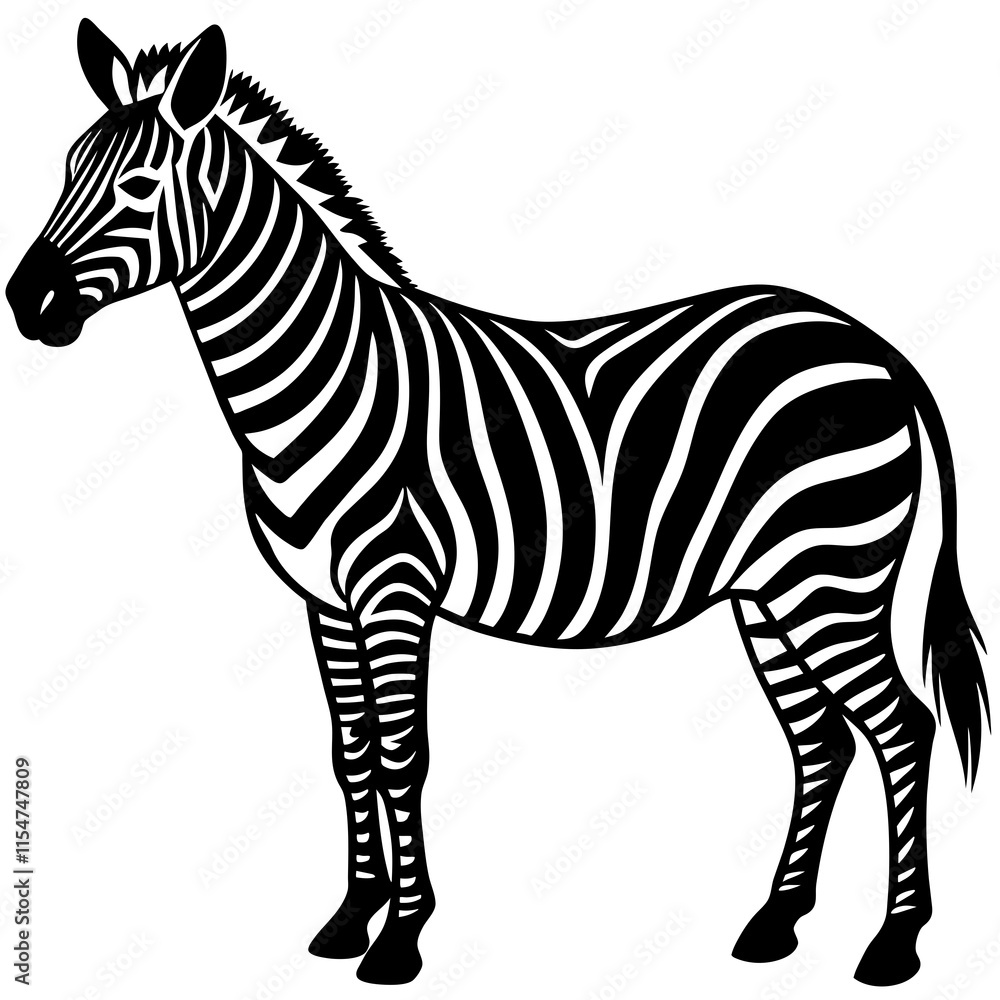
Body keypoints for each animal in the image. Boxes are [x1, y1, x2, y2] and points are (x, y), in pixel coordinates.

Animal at [5, 19, 989, 988]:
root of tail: (871, 344)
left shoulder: (393, 588)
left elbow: (402, 754)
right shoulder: (325, 602)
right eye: (64, 168)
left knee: (902, 726)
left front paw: (401, 939)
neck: (326, 375)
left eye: (137, 185)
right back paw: (775, 923)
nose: (25, 300)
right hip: (769, 590)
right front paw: (351, 919)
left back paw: (894, 944)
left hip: (830, 575)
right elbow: (350, 754)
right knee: (821, 739)